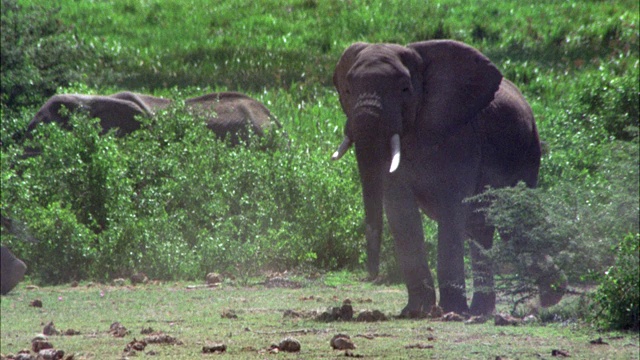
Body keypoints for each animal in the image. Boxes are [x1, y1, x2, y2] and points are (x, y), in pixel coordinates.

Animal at [332, 38, 564, 316]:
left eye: (405, 89)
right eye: (347, 90)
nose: (371, 276)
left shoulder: (461, 136)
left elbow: (451, 206)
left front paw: (450, 310)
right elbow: (401, 210)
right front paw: (417, 311)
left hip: (528, 151)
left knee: (511, 223)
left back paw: (548, 297)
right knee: (481, 229)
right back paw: (486, 310)